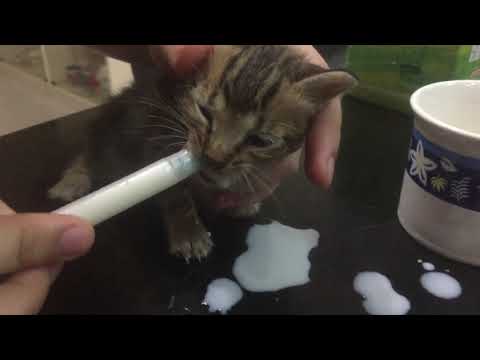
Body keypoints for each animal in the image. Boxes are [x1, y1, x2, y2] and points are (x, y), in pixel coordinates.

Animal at [48, 45, 358, 262]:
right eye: (205, 112)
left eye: (260, 140)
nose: (213, 158)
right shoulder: (156, 133)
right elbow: (176, 194)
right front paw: (188, 231)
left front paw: (243, 197)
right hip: (116, 126)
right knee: (90, 149)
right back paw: (73, 180)